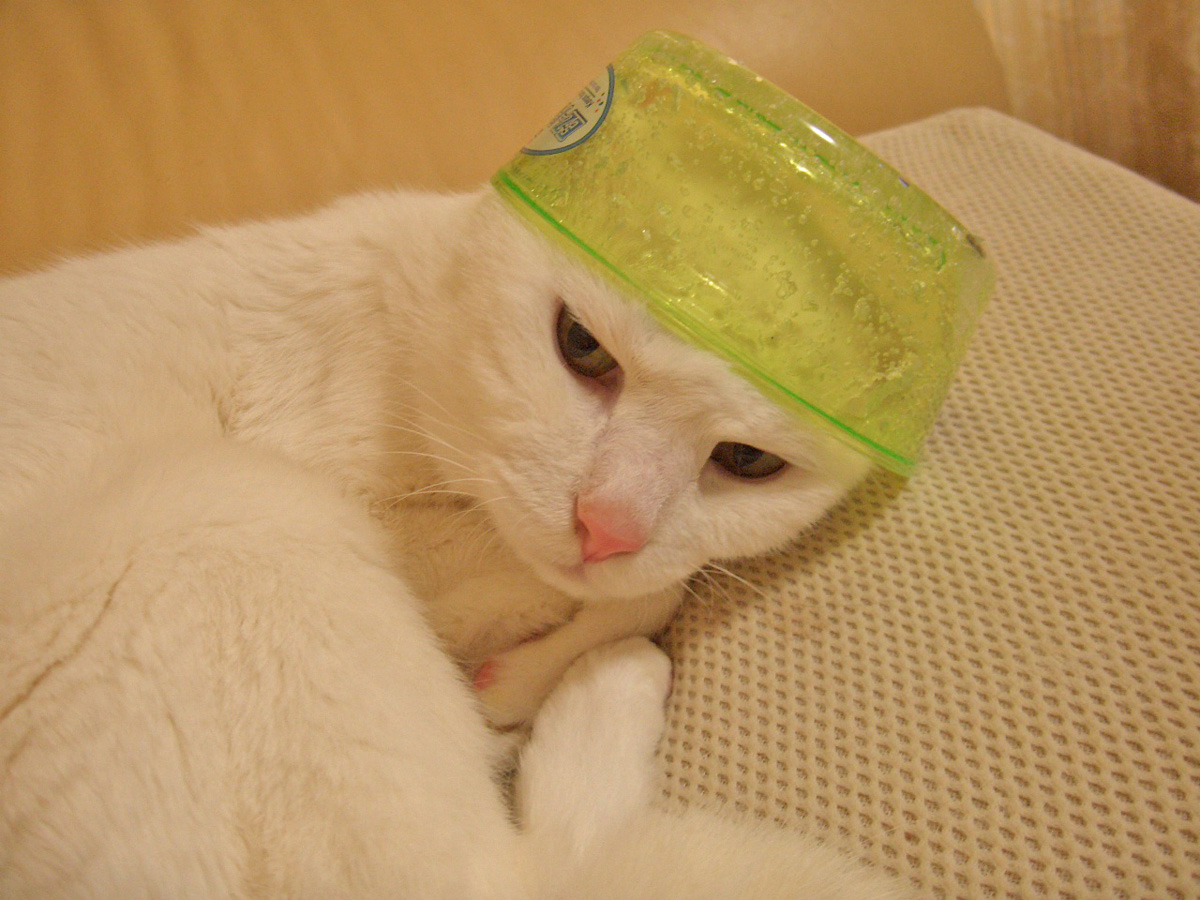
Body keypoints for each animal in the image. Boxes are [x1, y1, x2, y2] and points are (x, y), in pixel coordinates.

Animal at [0, 185, 904, 898]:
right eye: (583, 347)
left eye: (747, 461)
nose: (607, 523)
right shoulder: (354, 494)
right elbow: (630, 584)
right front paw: (526, 658)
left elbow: (628, 582)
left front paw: (509, 664)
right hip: (227, 508)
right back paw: (604, 690)